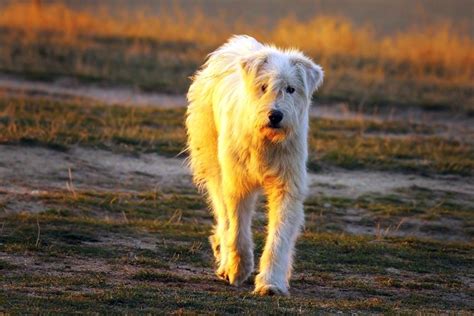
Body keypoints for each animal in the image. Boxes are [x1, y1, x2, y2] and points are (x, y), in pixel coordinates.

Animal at [187, 35, 324, 296]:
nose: (275, 116)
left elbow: (279, 236)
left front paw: (271, 283)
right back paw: (224, 257)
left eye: (291, 89)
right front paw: (238, 269)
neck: (266, 140)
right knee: (223, 214)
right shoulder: (237, 182)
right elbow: (237, 228)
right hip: (212, 162)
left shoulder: (287, 185)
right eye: (263, 86)